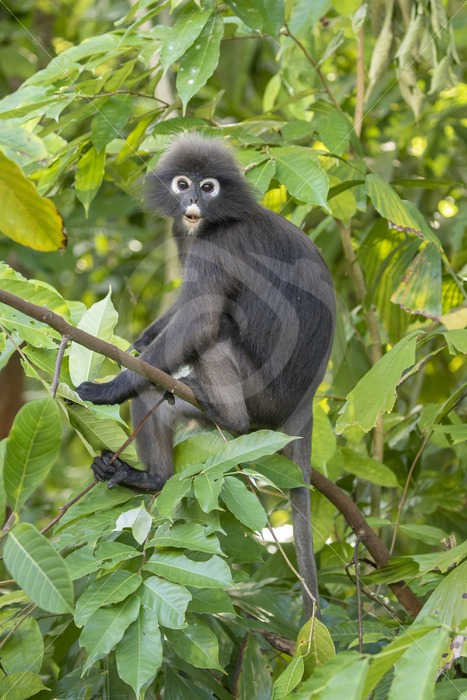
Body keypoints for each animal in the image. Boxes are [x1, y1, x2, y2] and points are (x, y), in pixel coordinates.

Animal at [75, 133, 336, 615]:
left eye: (208, 186)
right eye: (183, 184)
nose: (193, 201)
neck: (215, 220)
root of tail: (305, 405)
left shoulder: (220, 245)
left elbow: (200, 317)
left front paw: (109, 389)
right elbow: (181, 311)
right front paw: (137, 347)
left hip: (263, 398)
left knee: (216, 333)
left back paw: (228, 416)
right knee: (154, 393)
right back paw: (151, 478)